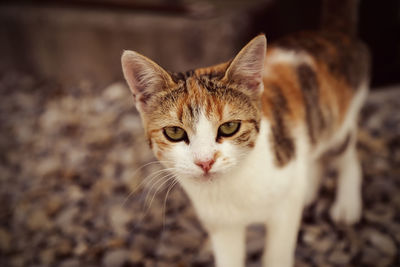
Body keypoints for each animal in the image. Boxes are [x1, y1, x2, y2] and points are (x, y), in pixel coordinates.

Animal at [121, 9, 368, 267]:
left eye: (229, 127)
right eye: (175, 132)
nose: (205, 162)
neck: (230, 186)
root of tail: (331, 32)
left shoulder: (284, 211)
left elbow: (277, 255)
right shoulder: (221, 224)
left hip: (338, 124)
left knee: (347, 154)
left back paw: (347, 203)